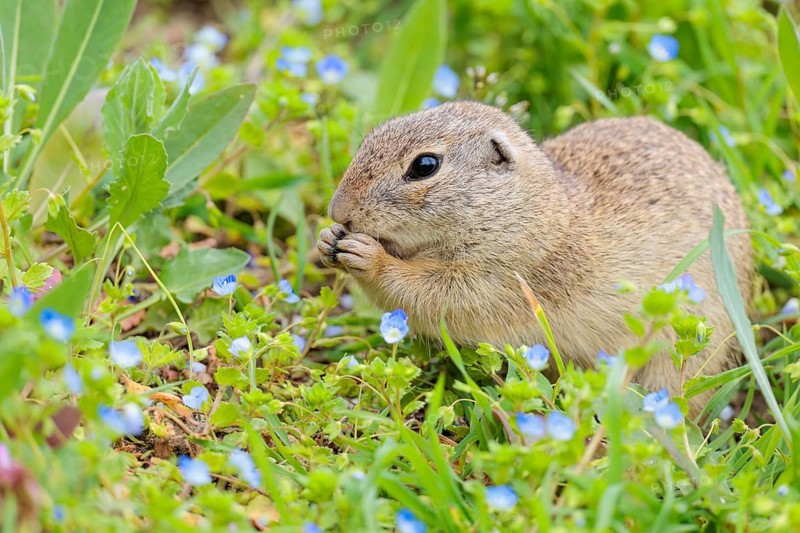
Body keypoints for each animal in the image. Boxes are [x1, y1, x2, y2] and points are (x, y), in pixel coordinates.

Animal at [317, 101, 753, 414]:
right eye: (372, 136)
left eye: (425, 165)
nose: (339, 212)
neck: (531, 210)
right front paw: (327, 241)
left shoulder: (504, 278)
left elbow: (434, 295)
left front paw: (367, 255)